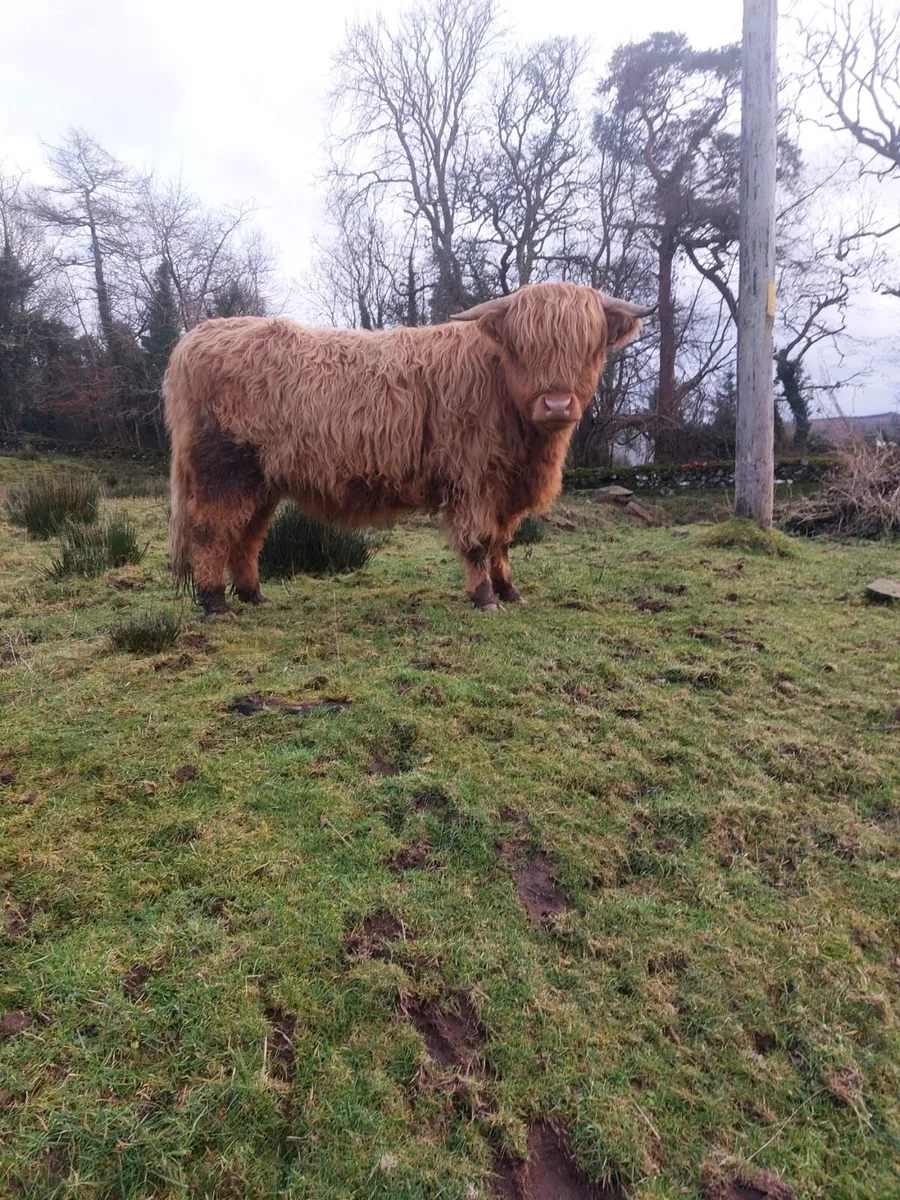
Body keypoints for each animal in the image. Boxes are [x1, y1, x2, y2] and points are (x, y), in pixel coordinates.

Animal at [163, 282, 651, 615]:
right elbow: (479, 541)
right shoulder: (472, 480)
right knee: (210, 531)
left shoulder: (505, 490)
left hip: (262, 482)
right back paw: (215, 603)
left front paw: (511, 591)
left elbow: (503, 543)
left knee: (247, 538)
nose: (557, 403)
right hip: (223, 471)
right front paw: (486, 597)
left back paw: (253, 595)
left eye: (589, 347)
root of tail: (194, 338)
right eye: (522, 348)